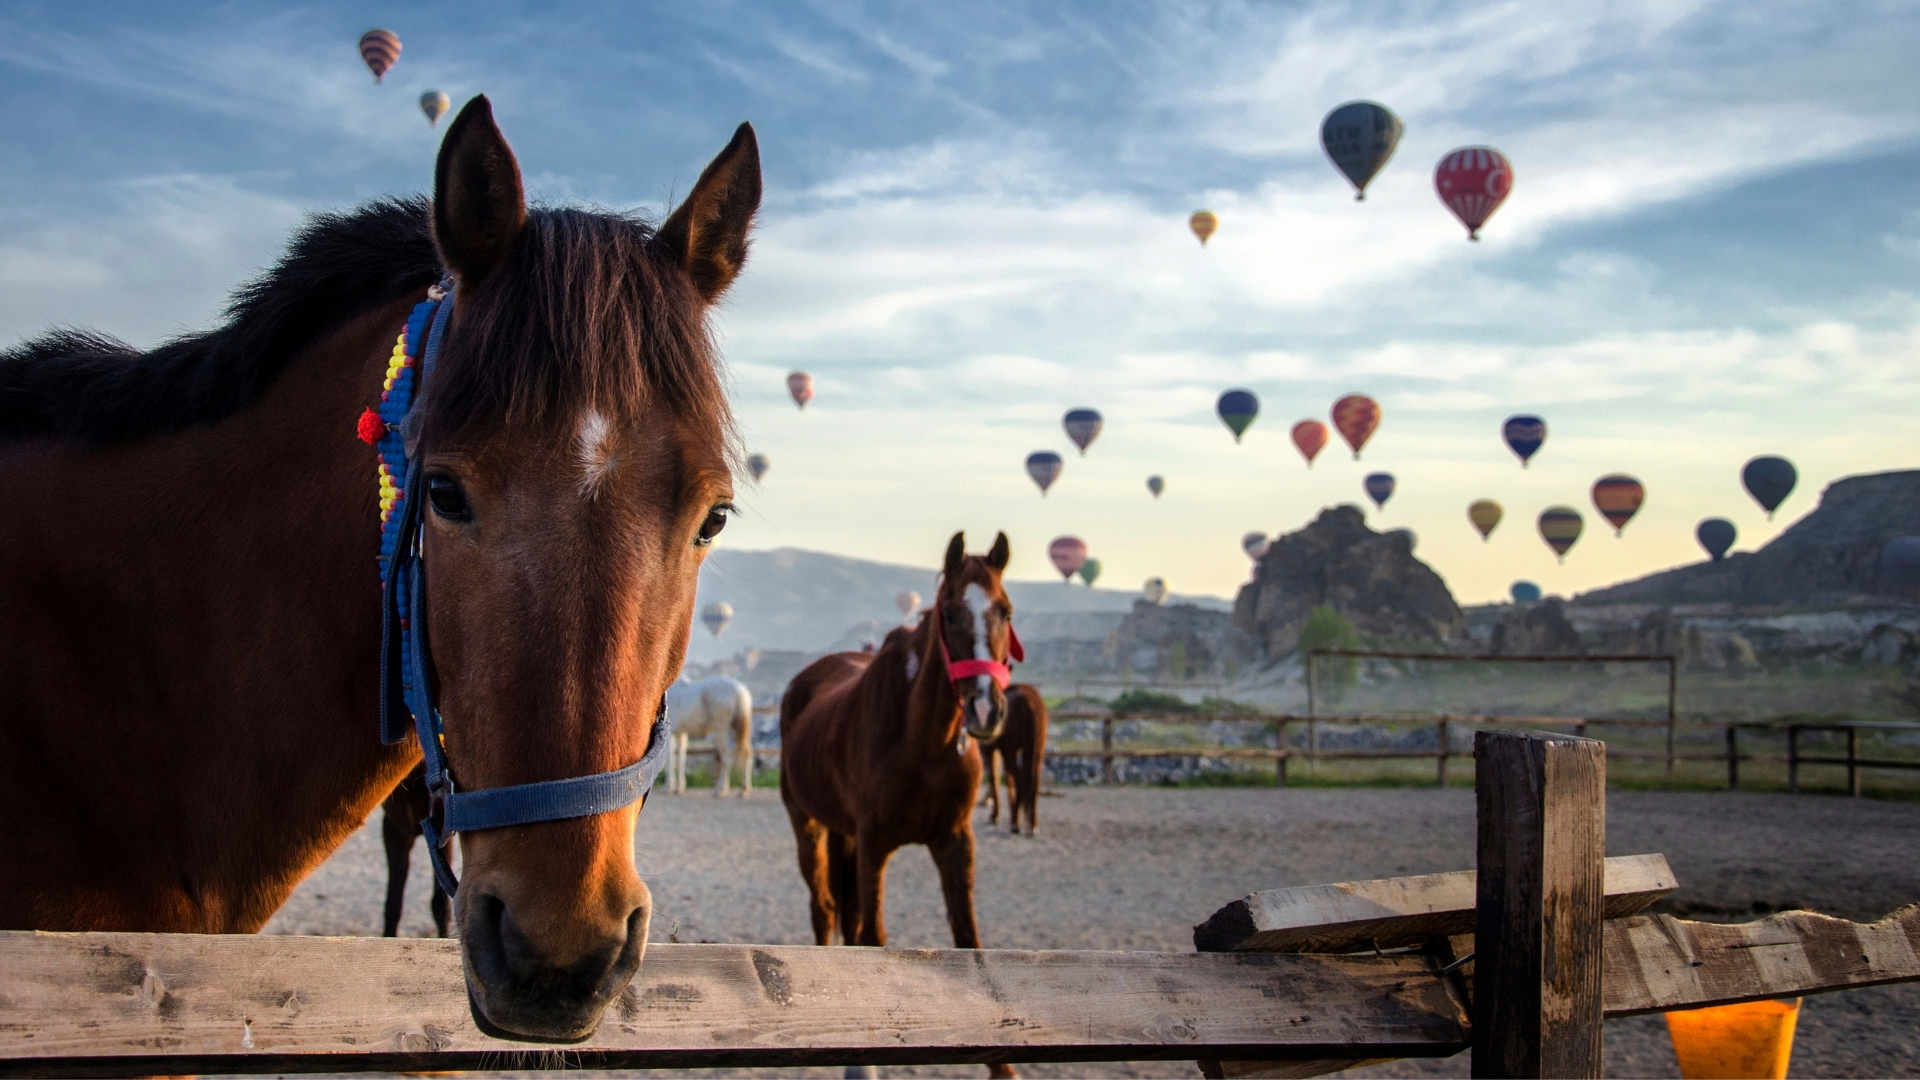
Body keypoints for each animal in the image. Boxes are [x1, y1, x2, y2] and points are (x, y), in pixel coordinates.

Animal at [978, 684, 1047, 836]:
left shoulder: (989, 750)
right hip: (1036, 753)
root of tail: (1029, 701)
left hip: (1009, 752)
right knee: (1033, 782)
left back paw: (1015, 822)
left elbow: (994, 778)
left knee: (1019, 780)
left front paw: (994, 815)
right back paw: (1031, 823)